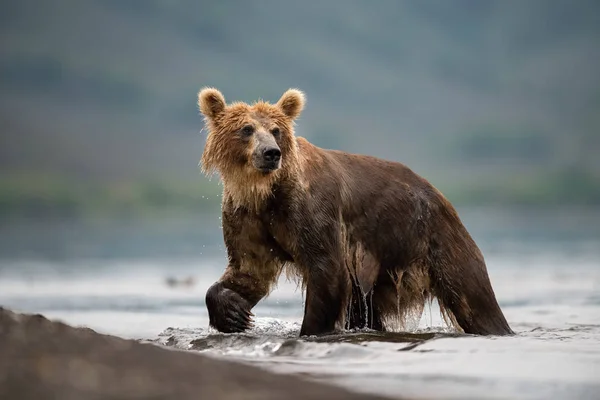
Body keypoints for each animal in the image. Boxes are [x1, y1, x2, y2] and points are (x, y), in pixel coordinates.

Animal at [199, 87, 512, 338]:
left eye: (276, 130)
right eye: (246, 129)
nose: (271, 153)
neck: (265, 191)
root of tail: (440, 195)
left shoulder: (311, 211)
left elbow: (326, 268)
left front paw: (311, 331)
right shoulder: (248, 215)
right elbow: (249, 266)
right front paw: (234, 313)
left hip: (433, 240)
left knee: (474, 298)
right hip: (381, 268)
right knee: (366, 309)